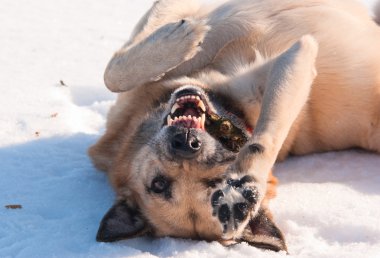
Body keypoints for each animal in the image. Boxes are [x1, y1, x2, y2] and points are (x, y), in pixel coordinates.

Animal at [89, 0, 380, 252]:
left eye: (218, 180)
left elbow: (112, 73)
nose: (185, 143)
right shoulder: (295, 61)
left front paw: (180, 38)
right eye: (159, 184)